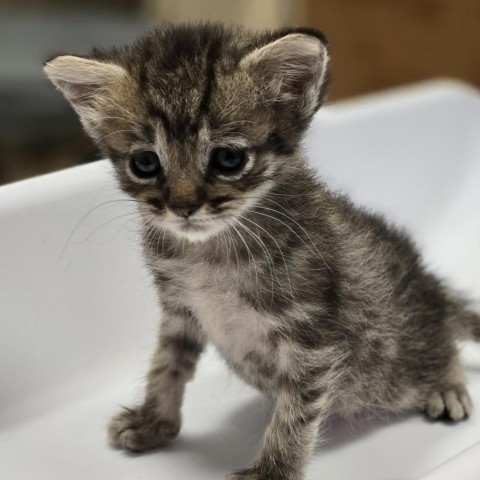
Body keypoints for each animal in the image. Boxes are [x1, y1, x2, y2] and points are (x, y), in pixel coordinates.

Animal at [43, 24, 478, 480]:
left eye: (227, 158)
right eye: (145, 163)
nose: (183, 207)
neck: (211, 251)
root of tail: (428, 284)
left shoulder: (312, 339)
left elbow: (296, 412)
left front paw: (273, 470)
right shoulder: (181, 309)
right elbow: (166, 364)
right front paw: (155, 421)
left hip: (394, 364)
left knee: (437, 344)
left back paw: (447, 383)